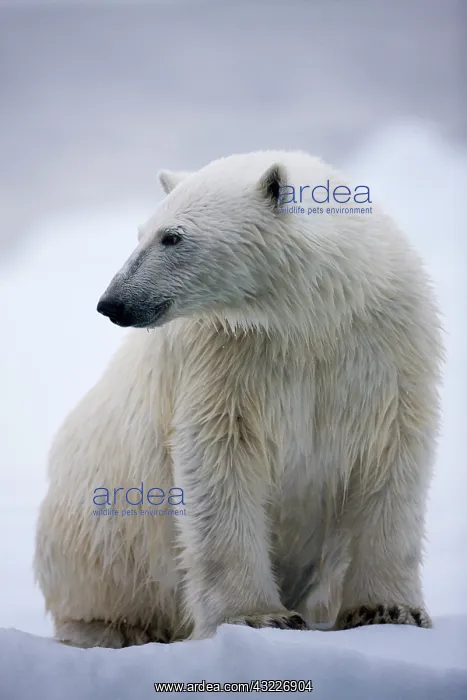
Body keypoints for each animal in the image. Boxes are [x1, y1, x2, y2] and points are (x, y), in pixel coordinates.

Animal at [34, 150, 443, 648]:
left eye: (172, 236)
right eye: (141, 232)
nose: (113, 303)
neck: (312, 316)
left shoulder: (386, 347)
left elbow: (392, 457)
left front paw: (388, 609)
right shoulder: (226, 356)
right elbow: (218, 459)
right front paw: (258, 616)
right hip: (98, 540)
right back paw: (115, 629)